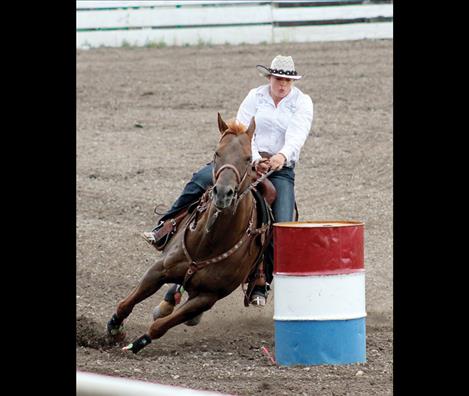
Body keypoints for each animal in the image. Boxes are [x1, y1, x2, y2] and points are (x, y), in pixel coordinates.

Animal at [104, 112, 268, 352]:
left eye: (248, 158)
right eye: (217, 152)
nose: (223, 193)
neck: (209, 242)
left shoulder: (208, 297)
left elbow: (160, 326)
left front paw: (135, 344)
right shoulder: (159, 269)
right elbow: (126, 302)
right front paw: (114, 330)